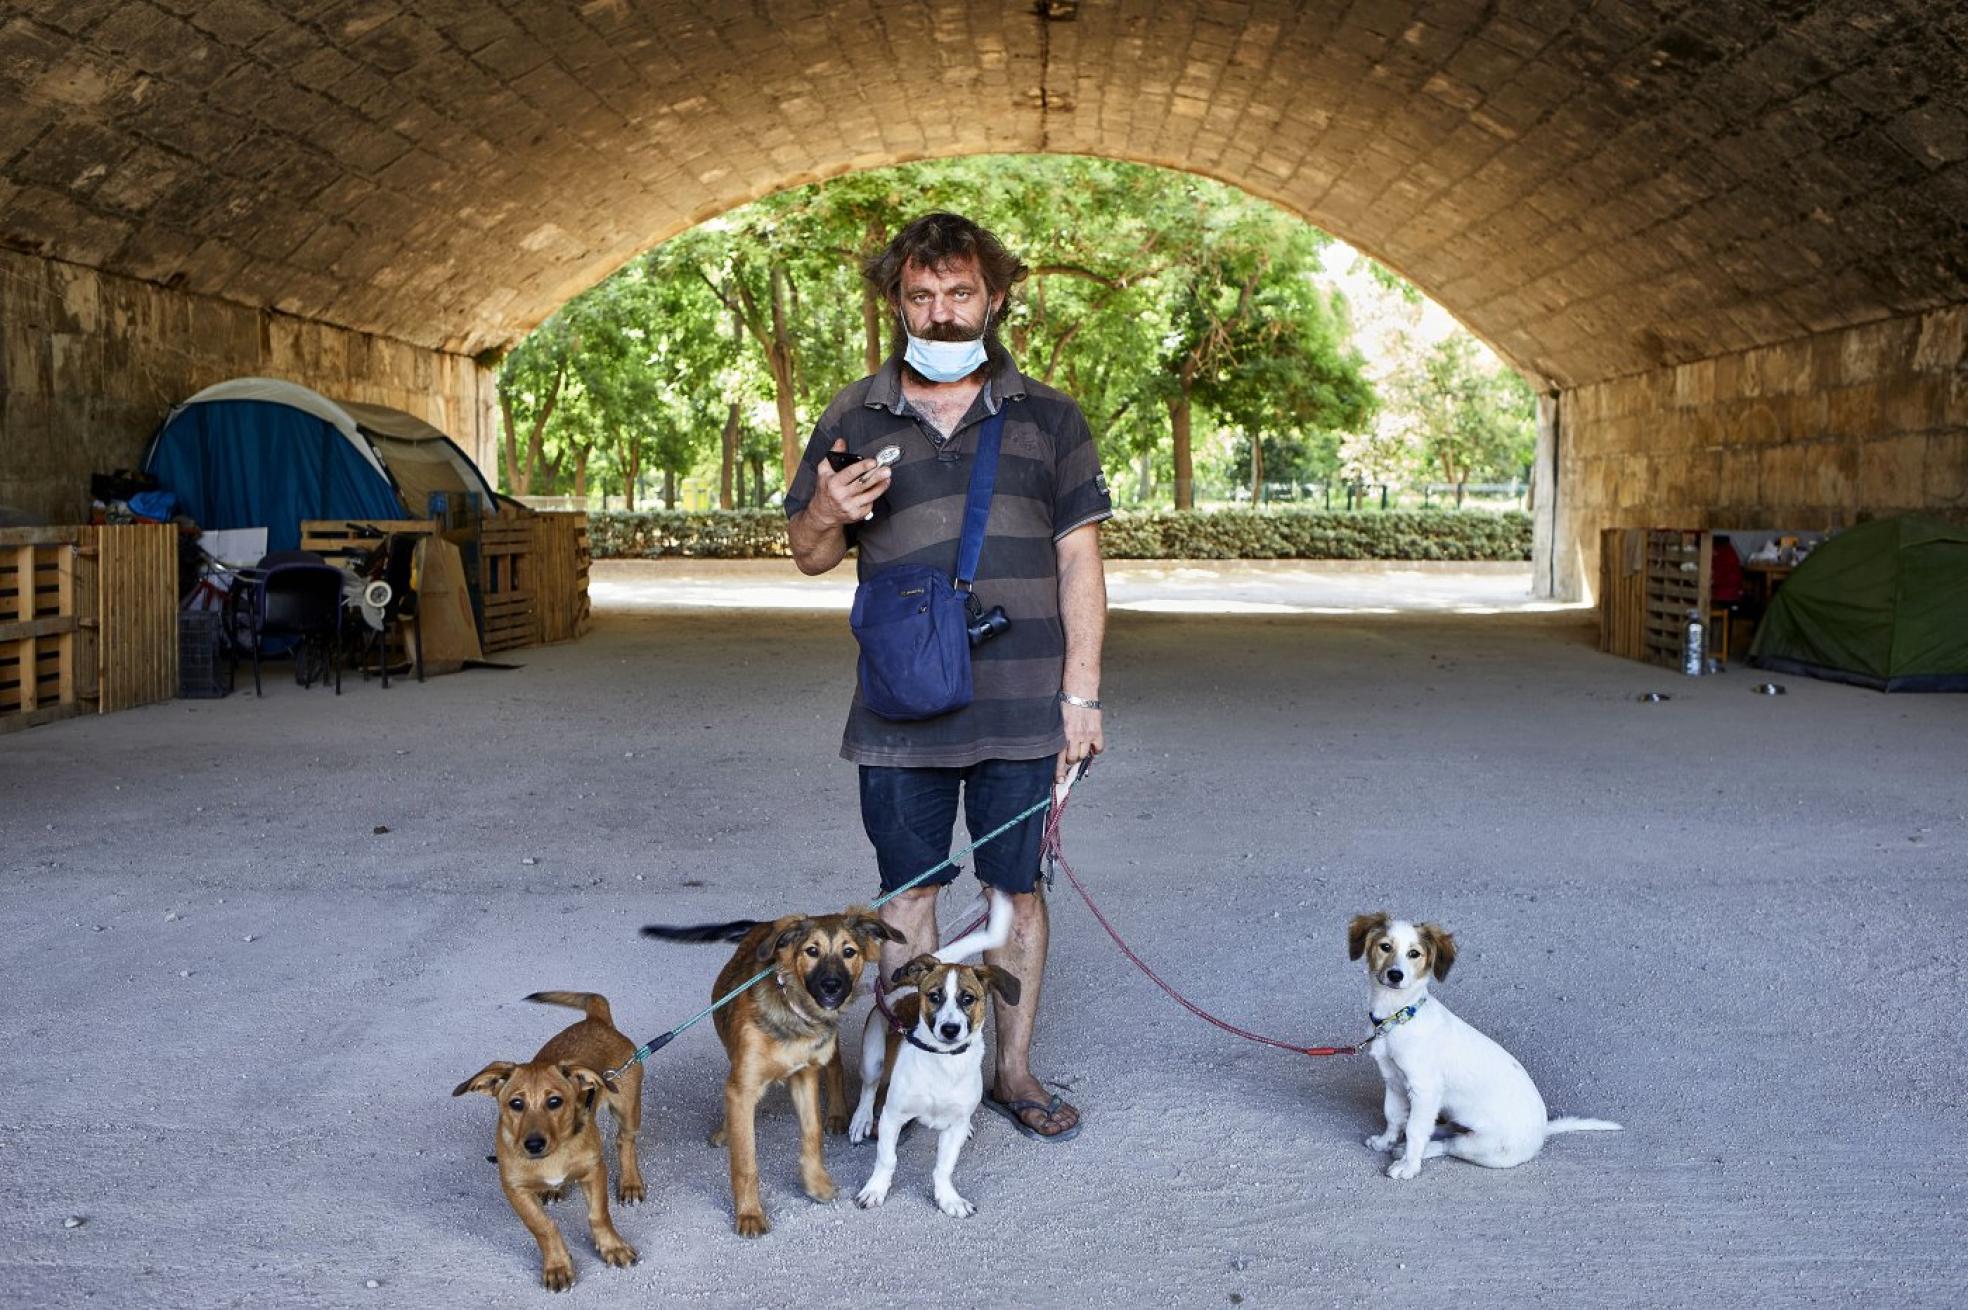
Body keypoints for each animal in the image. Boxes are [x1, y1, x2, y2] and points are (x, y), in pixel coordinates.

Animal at [452, 991, 645, 1282]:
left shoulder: (594, 1170)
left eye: (555, 1101)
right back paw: (554, 1188)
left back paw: (631, 1183)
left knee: (625, 1141)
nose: (533, 1145)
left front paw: (613, 1247)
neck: (552, 1156)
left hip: (627, 1109)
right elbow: (543, 1227)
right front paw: (557, 1265)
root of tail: (596, 1020)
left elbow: (599, 1215)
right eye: (516, 1104)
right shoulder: (515, 1190)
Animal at [645, 908, 905, 1235]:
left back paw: (836, 1113)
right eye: (811, 951)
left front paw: (816, 1183)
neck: (792, 1013)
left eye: (849, 952)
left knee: (834, 1066)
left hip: (825, 1047)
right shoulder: (741, 1087)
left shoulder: (805, 1076)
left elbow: (812, 1133)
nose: (832, 986)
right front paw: (750, 1214)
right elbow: (745, 1160)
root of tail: (766, 924)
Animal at [1346, 912, 1621, 1180]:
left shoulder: (1425, 1090)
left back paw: (1412, 1150)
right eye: (1385, 947)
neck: (1399, 1017)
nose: (1395, 975)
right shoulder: (1393, 1080)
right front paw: (1385, 1142)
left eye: (1414, 953)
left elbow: (1415, 1129)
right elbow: (1393, 1116)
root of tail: (1543, 1130)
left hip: (1482, 1147)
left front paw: (1409, 1166)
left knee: (1447, 1144)